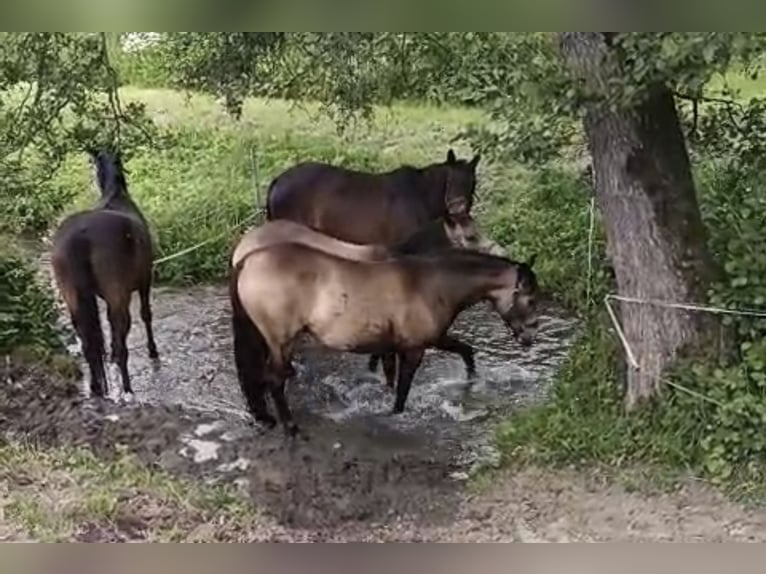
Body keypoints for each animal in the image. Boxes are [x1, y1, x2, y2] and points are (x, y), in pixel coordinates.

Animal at [50, 148, 158, 398]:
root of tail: (81, 234)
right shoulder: (145, 280)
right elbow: (146, 315)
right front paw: (153, 350)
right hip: (119, 297)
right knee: (120, 337)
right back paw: (127, 389)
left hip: (74, 300)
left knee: (88, 342)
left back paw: (96, 387)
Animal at [229, 242, 539, 437]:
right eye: (531, 300)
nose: (529, 338)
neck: (434, 284)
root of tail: (248, 261)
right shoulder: (414, 349)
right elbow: (402, 392)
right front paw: (395, 417)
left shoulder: (424, 340)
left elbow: (465, 351)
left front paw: (473, 380)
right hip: (282, 341)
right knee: (275, 379)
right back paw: (291, 427)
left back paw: (265, 418)